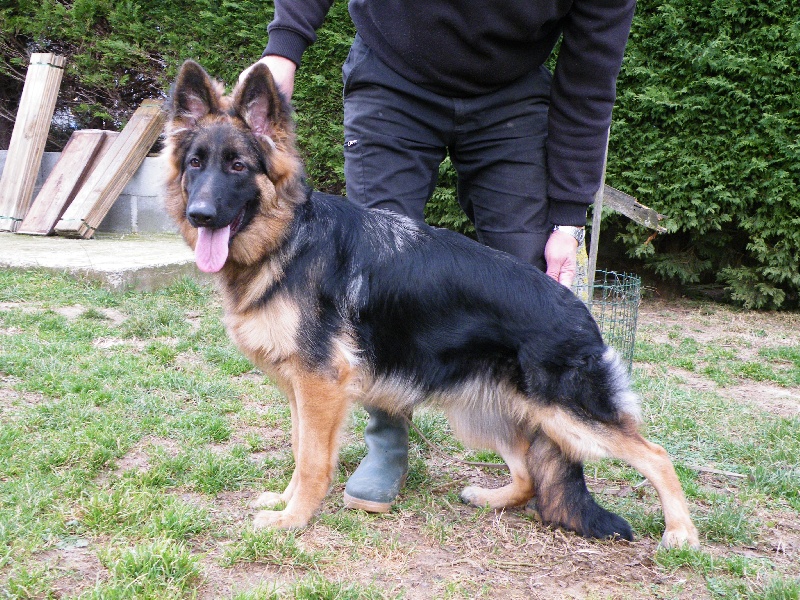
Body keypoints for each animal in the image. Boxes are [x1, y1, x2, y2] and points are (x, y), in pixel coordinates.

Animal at [164, 61, 700, 548]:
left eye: (238, 166)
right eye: (195, 164)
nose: (200, 214)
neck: (289, 239)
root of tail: (579, 308)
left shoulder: (319, 385)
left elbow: (312, 460)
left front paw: (293, 519)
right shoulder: (302, 388)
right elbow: (300, 451)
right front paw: (284, 501)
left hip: (569, 415)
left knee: (655, 455)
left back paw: (681, 533)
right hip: (490, 412)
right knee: (530, 474)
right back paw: (490, 498)